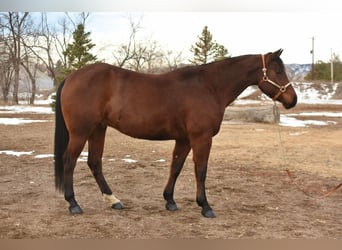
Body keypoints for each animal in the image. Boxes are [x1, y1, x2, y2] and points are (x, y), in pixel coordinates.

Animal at [53, 48, 296, 217]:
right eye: (277, 71)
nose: (292, 100)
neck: (209, 87)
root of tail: (72, 77)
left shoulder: (184, 139)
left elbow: (176, 167)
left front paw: (170, 201)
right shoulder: (201, 138)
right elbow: (201, 170)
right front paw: (205, 206)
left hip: (98, 129)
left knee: (94, 162)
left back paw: (114, 200)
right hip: (80, 132)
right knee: (69, 161)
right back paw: (73, 204)